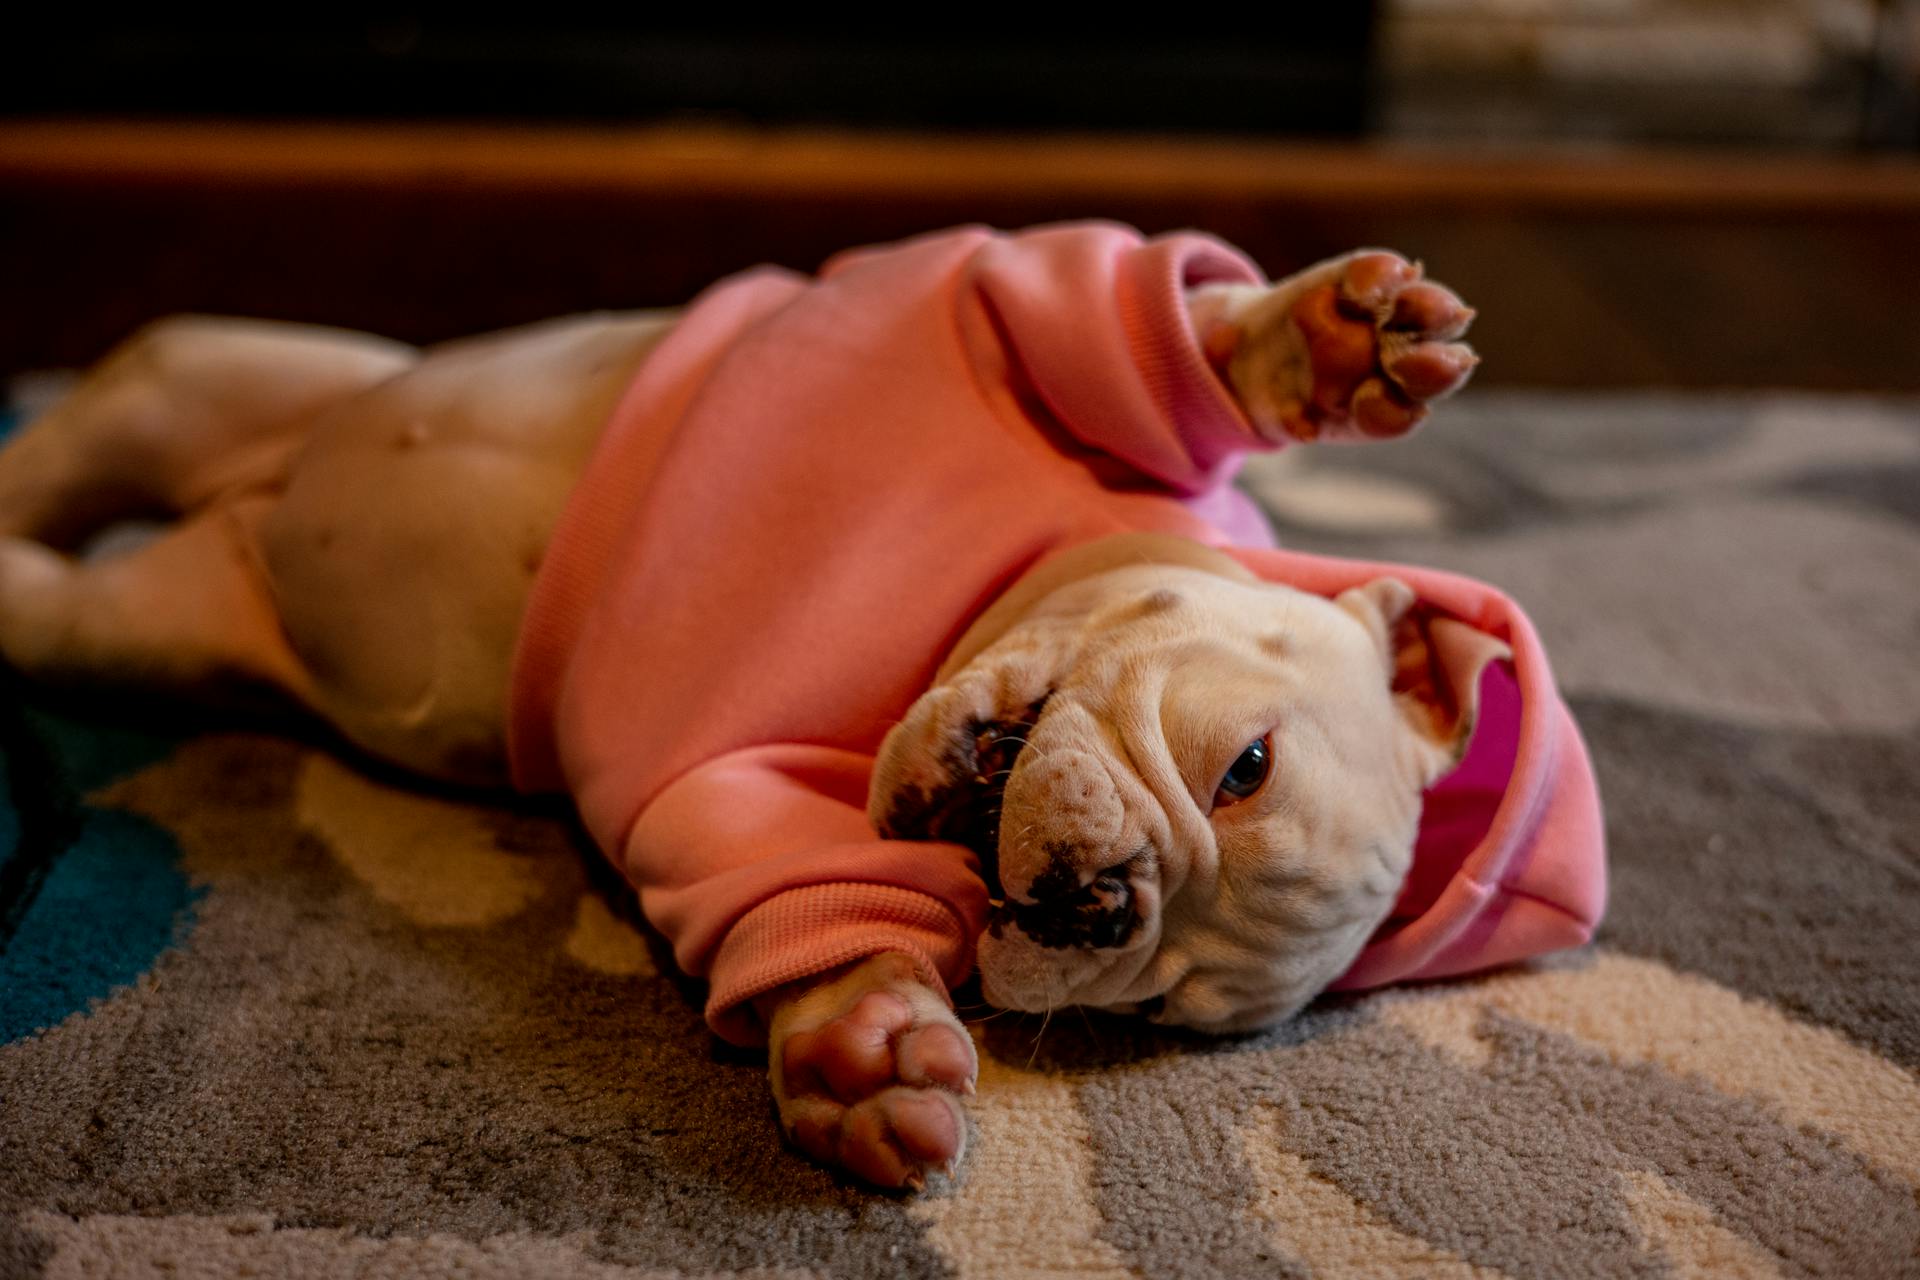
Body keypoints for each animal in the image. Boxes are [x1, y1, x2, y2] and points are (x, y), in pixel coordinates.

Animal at [0, 220, 1605, 1189]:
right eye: (1244, 768)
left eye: (1151, 1004)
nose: (1105, 903)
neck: (984, 592)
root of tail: (249, 505)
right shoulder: (1017, 324)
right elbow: (1151, 347)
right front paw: (1334, 339)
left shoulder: (736, 784)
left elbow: (801, 891)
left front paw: (868, 1050)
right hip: (230, 376)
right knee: (122, 395)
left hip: (149, 626)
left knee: (57, 585)